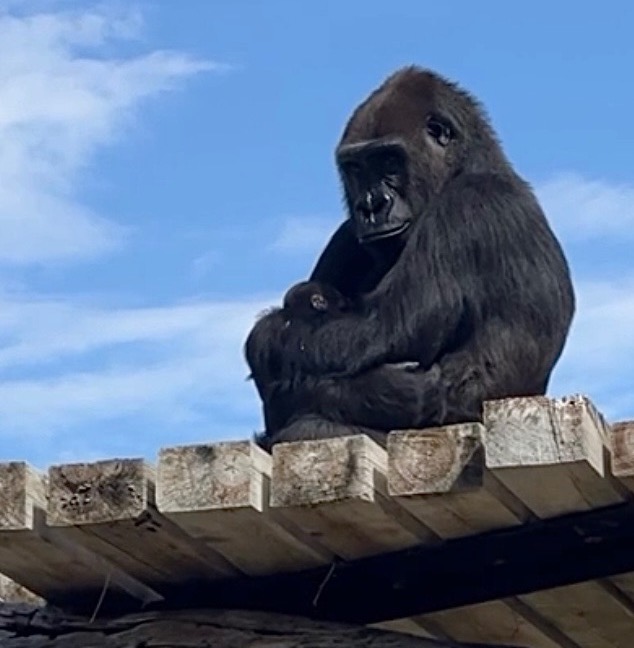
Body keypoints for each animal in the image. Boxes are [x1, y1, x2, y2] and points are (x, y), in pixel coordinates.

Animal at [244, 66, 576, 450]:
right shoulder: (344, 236)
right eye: (357, 168)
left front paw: (267, 338)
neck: (466, 167)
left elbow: (385, 329)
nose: (371, 205)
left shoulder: (469, 206)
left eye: (388, 160)